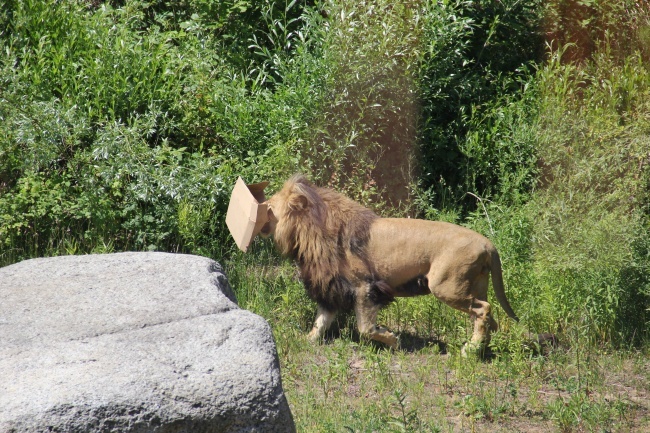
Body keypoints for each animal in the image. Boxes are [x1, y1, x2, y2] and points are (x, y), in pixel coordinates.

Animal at [258, 174, 516, 356]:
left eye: (269, 206)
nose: (260, 207)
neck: (309, 231)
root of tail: (487, 243)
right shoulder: (332, 287)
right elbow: (320, 321)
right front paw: (307, 340)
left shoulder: (364, 286)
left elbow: (365, 328)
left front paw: (393, 340)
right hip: (475, 285)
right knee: (488, 318)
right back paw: (481, 348)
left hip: (447, 286)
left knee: (484, 310)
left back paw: (470, 350)